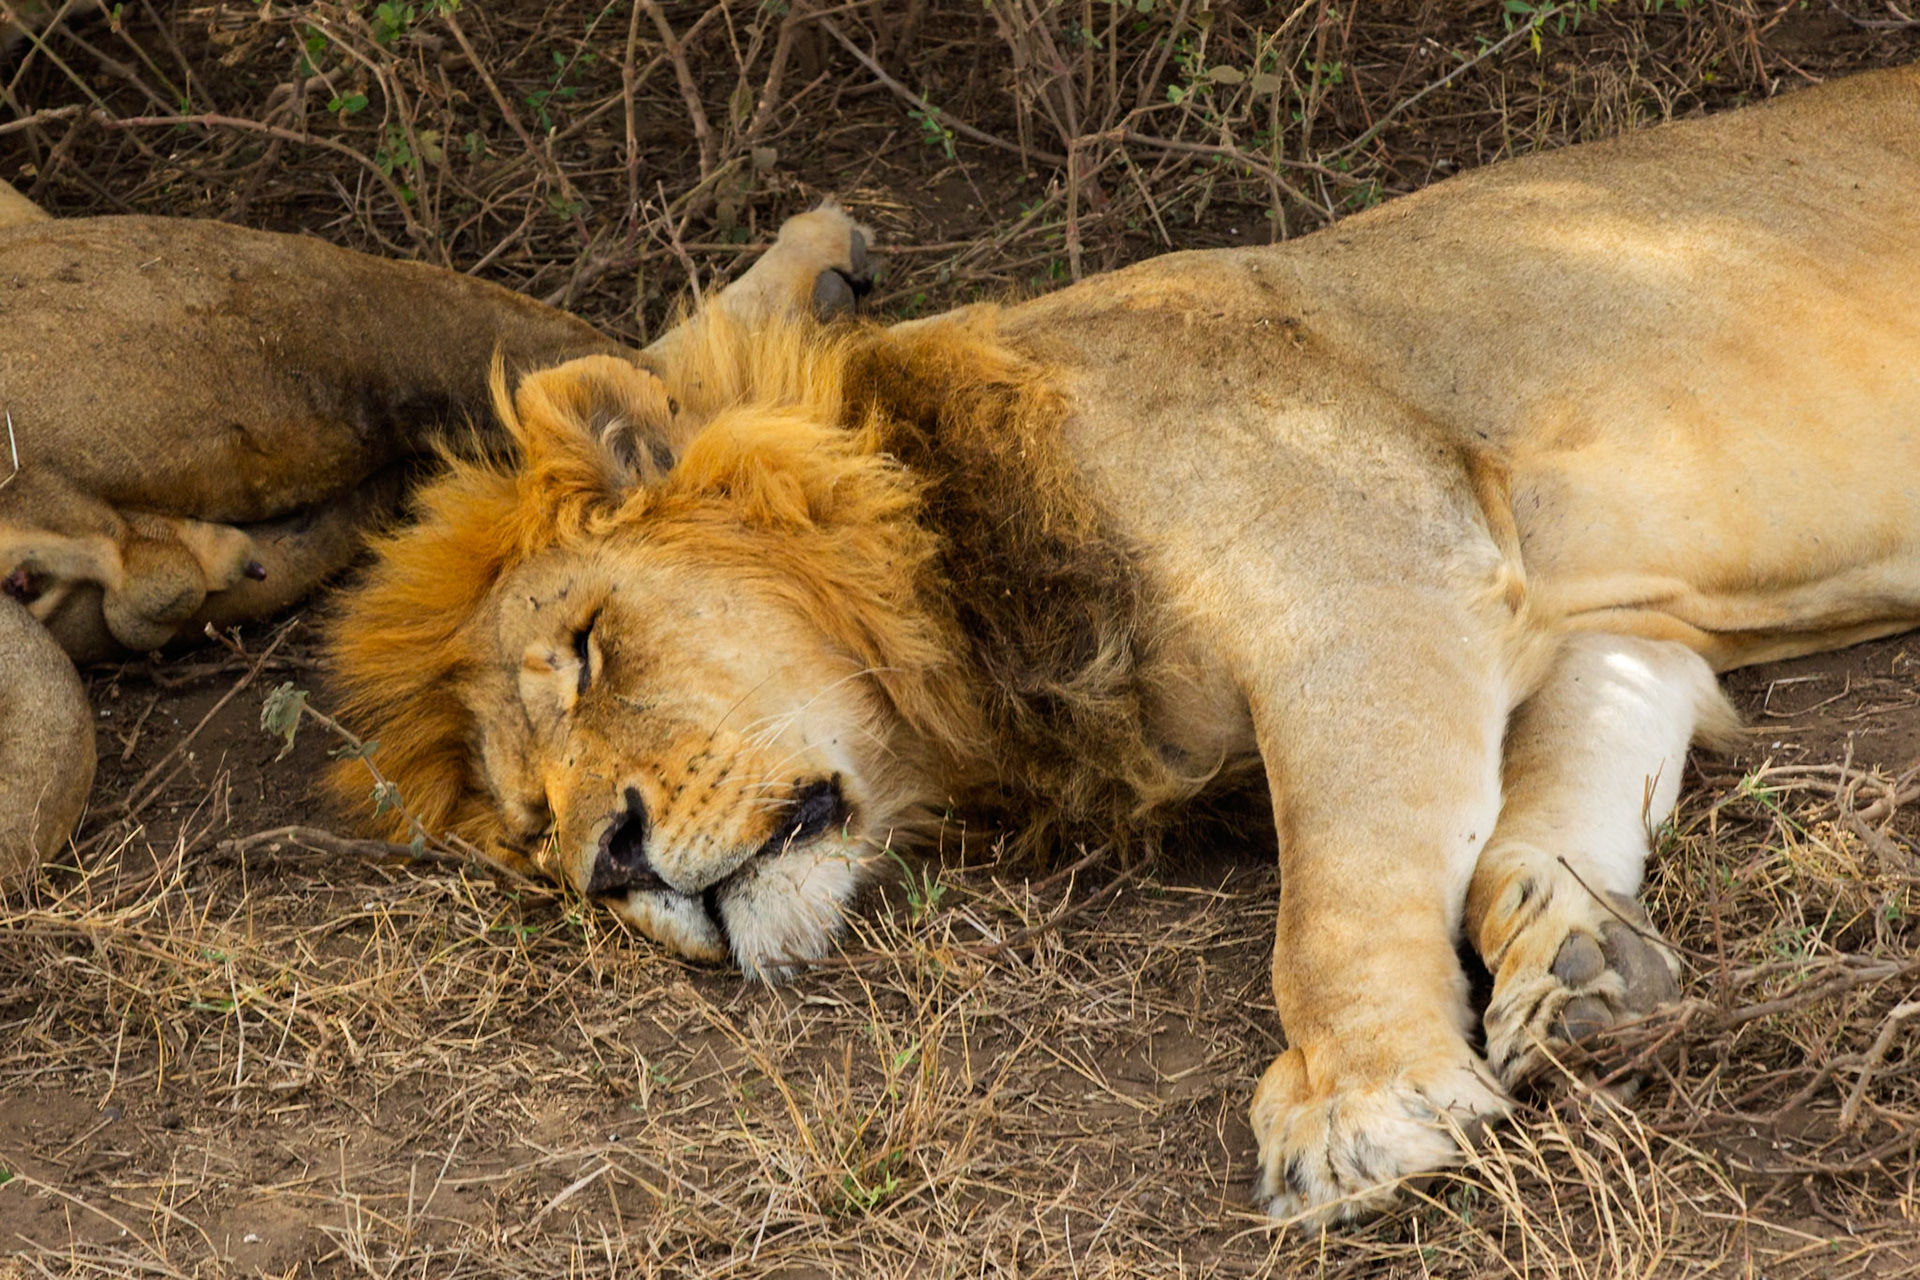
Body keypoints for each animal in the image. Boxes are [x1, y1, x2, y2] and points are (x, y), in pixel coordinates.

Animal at [325, 62, 1918, 1226]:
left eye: (591, 647)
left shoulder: (1369, 573)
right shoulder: (1608, 623)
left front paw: (1360, 1102)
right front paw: (1583, 964)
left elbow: (1335, 893)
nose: (614, 867)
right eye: (530, 826)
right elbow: (1559, 794)